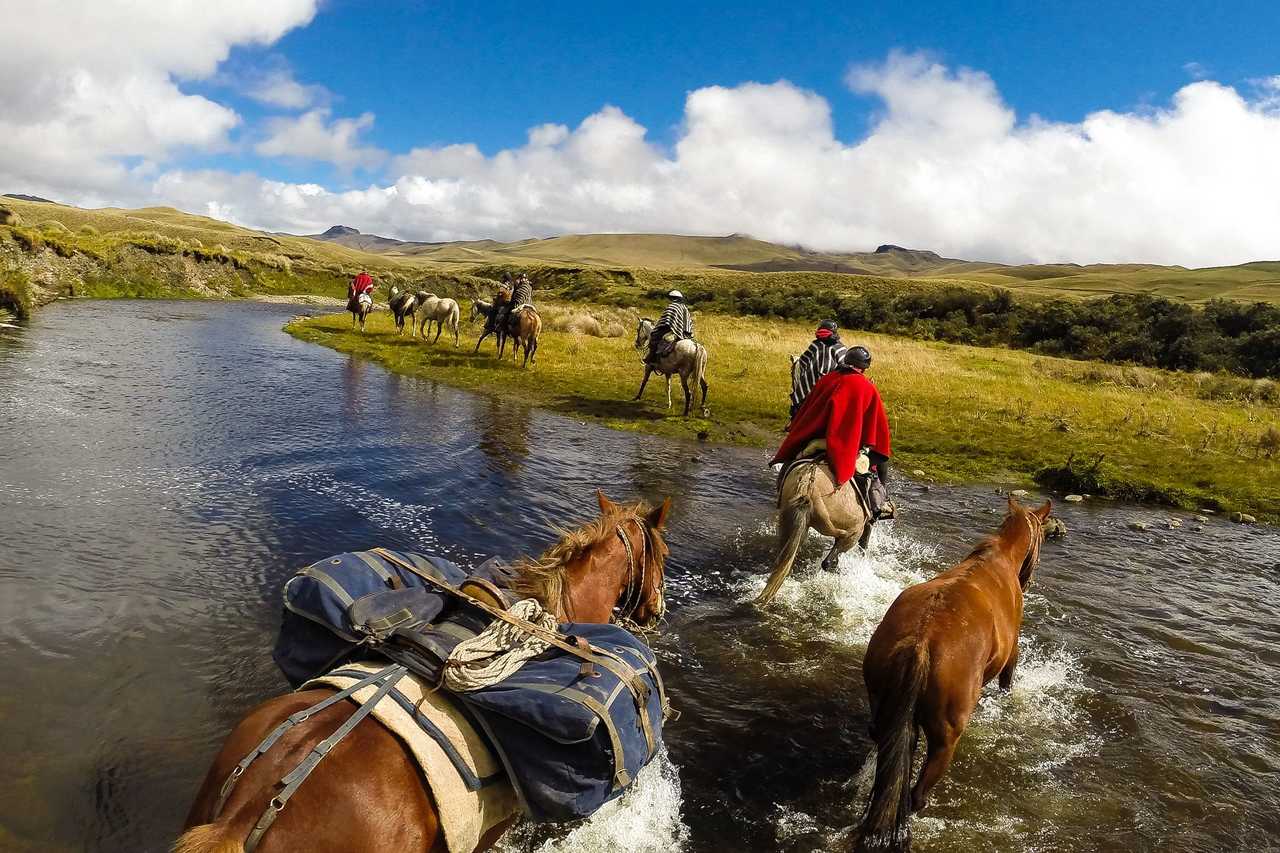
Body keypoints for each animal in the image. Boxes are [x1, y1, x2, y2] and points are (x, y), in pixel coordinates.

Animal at [855, 494, 1054, 845]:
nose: (1029, 580)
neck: (1001, 556)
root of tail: (921, 641)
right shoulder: (1012, 654)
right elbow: (1007, 682)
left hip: (882, 707)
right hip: (946, 738)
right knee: (918, 793)